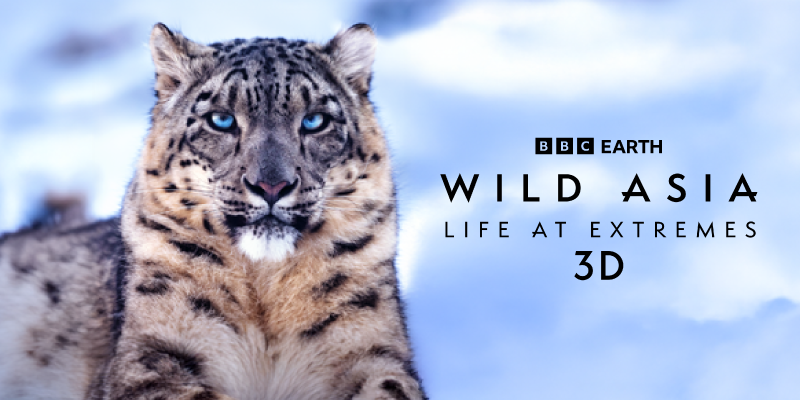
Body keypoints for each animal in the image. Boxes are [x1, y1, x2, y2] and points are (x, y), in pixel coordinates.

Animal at [0, 23, 427, 400]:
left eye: (314, 120)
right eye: (221, 119)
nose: (271, 185)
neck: (266, 294)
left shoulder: (372, 353)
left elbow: (391, 389)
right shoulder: (148, 361)